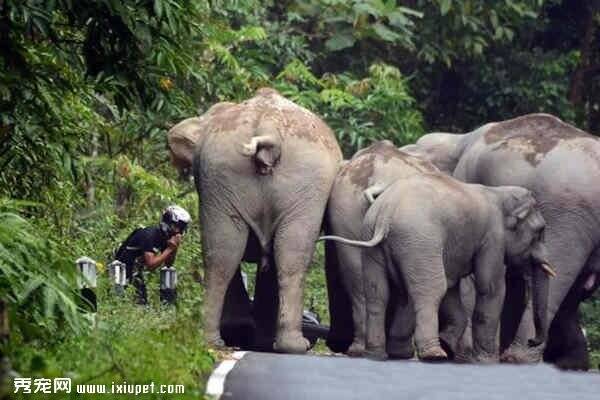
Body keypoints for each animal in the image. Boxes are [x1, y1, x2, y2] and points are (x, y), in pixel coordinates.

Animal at [169, 88, 342, 354]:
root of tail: (268, 126)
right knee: (285, 255)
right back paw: (284, 344)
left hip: (227, 179)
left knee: (223, 253)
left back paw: (220, 340)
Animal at [322, 173, 556, 360]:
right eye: (540, 231)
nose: (532, 341)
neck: (498, 193)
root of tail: (385, 213)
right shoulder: (492, 239)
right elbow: (490, 289)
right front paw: (485, 360)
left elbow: (452, 288)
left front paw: (451, 343)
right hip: (419, 240)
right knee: (431, 289)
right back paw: (434, 354)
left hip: (374, 240)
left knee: (379, 293)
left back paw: (381, 354)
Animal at [400, 112, 600, 368]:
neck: (457, 140)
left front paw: (463, 354)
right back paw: (569, 364)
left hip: (567, 215)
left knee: (559, 275)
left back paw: (518, 358)